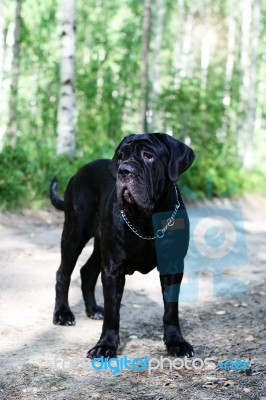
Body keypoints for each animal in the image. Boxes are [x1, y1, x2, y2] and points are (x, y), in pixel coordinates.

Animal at [50, 133, 195, 358]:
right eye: (120, 157)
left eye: (148, 156)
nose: (124, 170)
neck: (145, 219)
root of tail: (78, 173)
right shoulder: (113, 268)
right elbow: (113, 310)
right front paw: (105, 345)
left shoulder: (172, 266)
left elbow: (171, 309)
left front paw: (176, 342)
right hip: (75, 234)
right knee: (63, 273)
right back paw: (63, 314)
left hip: (99, 245)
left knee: (87, 271)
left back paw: (93, 310)